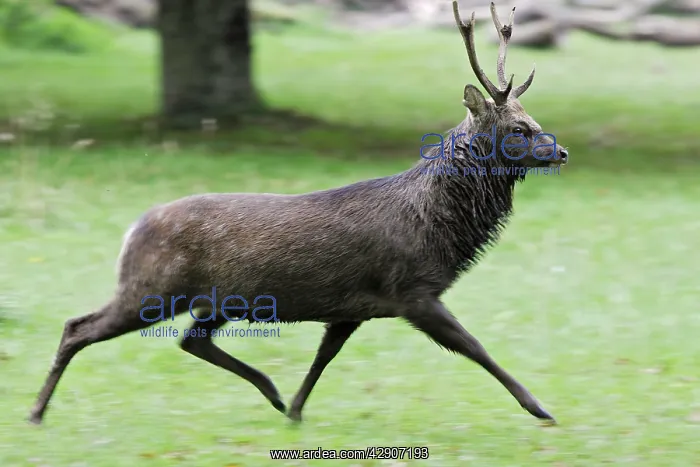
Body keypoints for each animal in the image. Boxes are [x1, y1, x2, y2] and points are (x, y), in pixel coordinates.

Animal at [29, 1, 568, 426]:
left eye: (534, 120)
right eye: (519, 128)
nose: (560, 152)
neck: (436, 229)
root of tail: (134, 227)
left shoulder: (355, 306)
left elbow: (324, 356)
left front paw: (295, 409)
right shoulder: (411, 290)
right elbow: (473, 346)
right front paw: (540, 407)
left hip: (212, 298)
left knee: (190, 341)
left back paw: (270, 392)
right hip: (153, 287)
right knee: (78, 327)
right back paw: (35, 412)